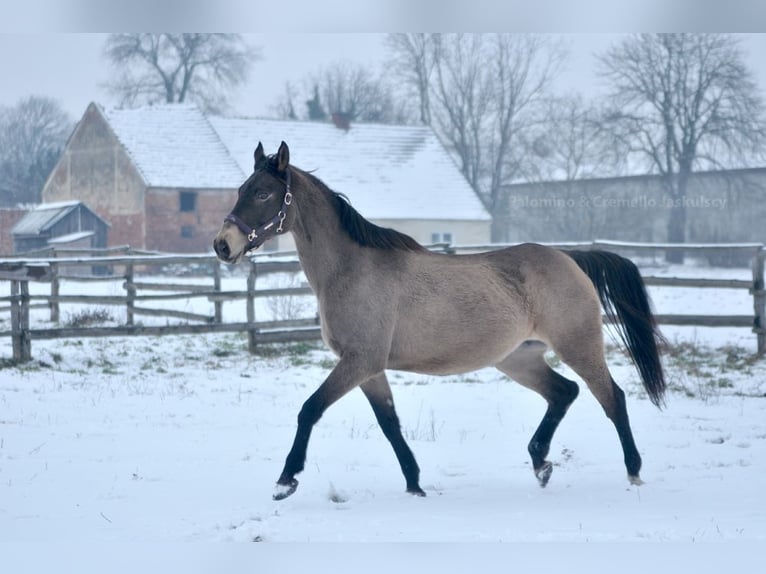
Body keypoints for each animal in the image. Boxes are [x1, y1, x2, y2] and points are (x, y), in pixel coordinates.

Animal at [213, 141, 666, 501]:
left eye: (263, 192)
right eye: (241, 190)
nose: (222, 245)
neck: (350, 270)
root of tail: (571, 258)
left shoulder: (359, 361)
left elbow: (309, 410)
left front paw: (285, 481)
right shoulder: (370, 368)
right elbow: (390, 424)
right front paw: (415, 484)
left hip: (578, 346)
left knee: (612, 398)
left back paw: (634, 472)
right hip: (519, 358)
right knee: (564, 393)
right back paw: (541, 464)